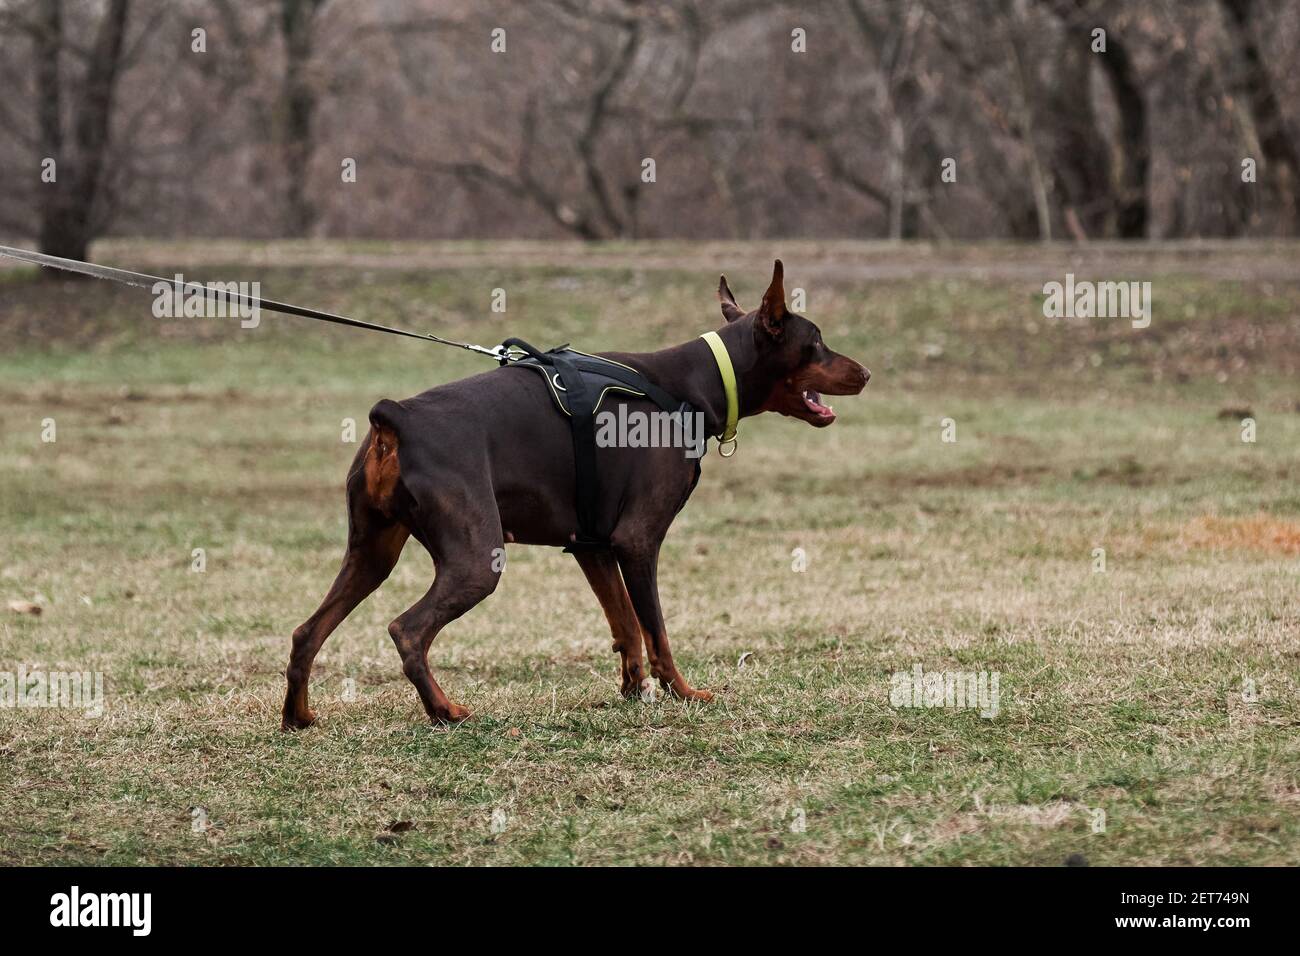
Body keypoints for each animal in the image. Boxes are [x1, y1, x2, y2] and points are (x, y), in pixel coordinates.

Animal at [284, 257, 873, 728]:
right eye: (816, 342)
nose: (867, 372)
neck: (694, 383)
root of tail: (396, 418)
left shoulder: (591, 545)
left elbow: (626, 626)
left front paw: (634, 692)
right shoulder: (637, 540)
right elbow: (656, 630)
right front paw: (684, 694)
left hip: (372, 551)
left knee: (306, 632)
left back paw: (298, 718)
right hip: (476, 558)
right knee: (407, 631)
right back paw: (446, 711)